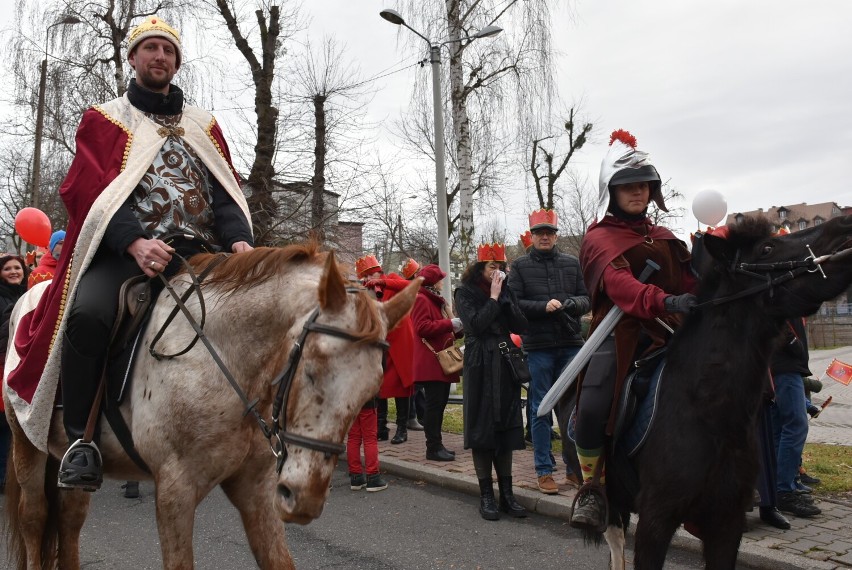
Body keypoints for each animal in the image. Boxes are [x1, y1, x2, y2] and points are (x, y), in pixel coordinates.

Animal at [600, 215, 852, 564]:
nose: (843, 224)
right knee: (614, 543)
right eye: (767, 248)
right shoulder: (656, 519)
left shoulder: (726, 522)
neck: (707, 411)